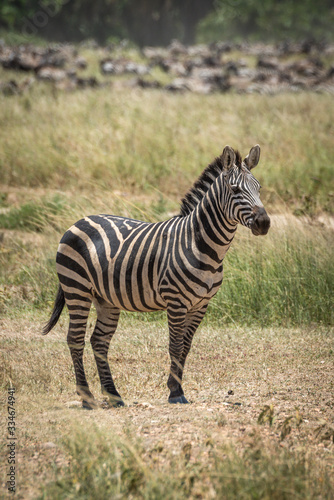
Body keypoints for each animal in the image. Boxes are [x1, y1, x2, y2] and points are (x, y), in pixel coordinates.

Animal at [43, 146, 268, 410]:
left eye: (259, 188)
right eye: (235, 190)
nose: (264, 223)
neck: (201, 245)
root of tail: (79, 220)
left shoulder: (201, 304)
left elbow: (186, 347)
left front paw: (176, 388)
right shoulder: (176, 301)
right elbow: (175, 345)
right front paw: (175, 392)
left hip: (105, 298)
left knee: (99, 341)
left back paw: (113, 395)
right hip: (76, 288)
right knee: (75, 339)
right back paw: (87, 398)